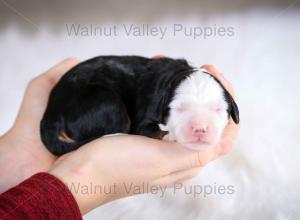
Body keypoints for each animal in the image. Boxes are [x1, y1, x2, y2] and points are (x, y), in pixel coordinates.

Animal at [41, 55, 240, 155]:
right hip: (107, 104)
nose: (199, 129)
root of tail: (52, 108)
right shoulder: (146, 119)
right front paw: (170, 136)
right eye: (179, 109)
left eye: (217, 109)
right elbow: (155, 130)